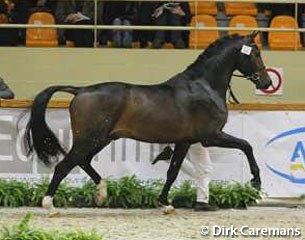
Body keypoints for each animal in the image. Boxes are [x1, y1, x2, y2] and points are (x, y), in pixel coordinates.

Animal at [23, 31, 270, 215]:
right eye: (256, 53)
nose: (266, 83)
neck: (203, 86)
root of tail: (80, 91)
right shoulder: (211, 136)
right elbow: (247, 145)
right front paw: (256, 182)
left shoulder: (185, 141)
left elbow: (173, 171)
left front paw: (165, 204)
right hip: (90, 138)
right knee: (64, 166)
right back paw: (50, 206)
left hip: (100, 139)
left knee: (82, 161)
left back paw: (102, 193)